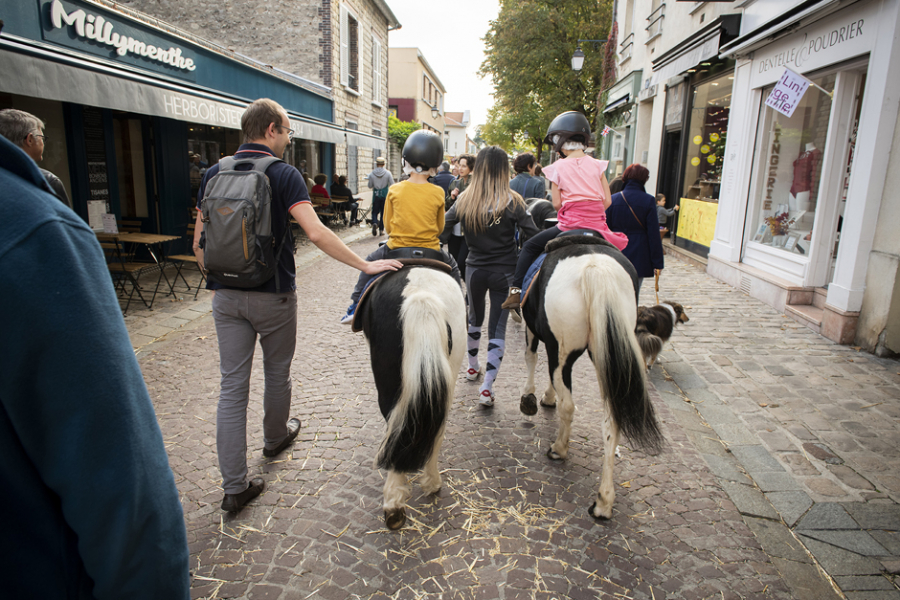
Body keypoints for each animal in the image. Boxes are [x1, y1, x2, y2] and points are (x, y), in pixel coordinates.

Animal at [354, 264, 464, 528]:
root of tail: (420, 293)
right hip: (448, 376)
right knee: (436, 428)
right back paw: (432, 482)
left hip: (388, 386)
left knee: (396, 424)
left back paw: (394, 505)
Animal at [516, 234, 664, 520]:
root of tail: (597, 269)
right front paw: (547, 397)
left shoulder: (534, 331)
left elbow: (531, 358)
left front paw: (531, 398)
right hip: (609, 357)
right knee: (611, 422)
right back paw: (603, 502)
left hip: (565, 350)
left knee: (569, 406)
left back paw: (559, 449)